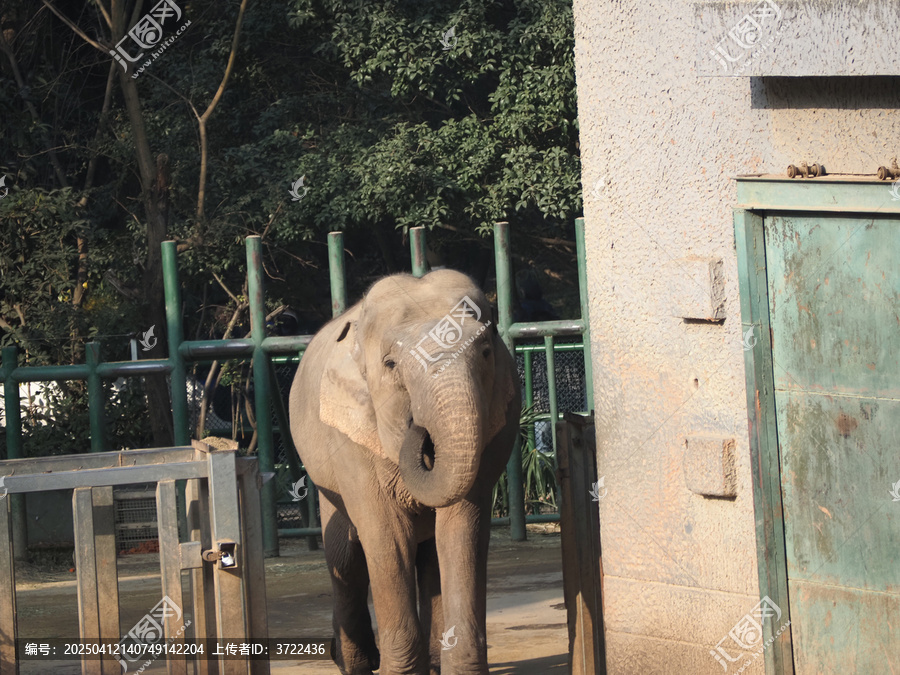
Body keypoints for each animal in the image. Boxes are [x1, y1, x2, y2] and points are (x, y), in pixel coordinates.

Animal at [289, 269, 521, 675]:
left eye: (485, 352)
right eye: (390, 365)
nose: (418, 427)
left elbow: (461, 529)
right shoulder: (349, 437)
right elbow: (386, 536)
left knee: (429, 557)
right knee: (345, 557)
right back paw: (353, 663)